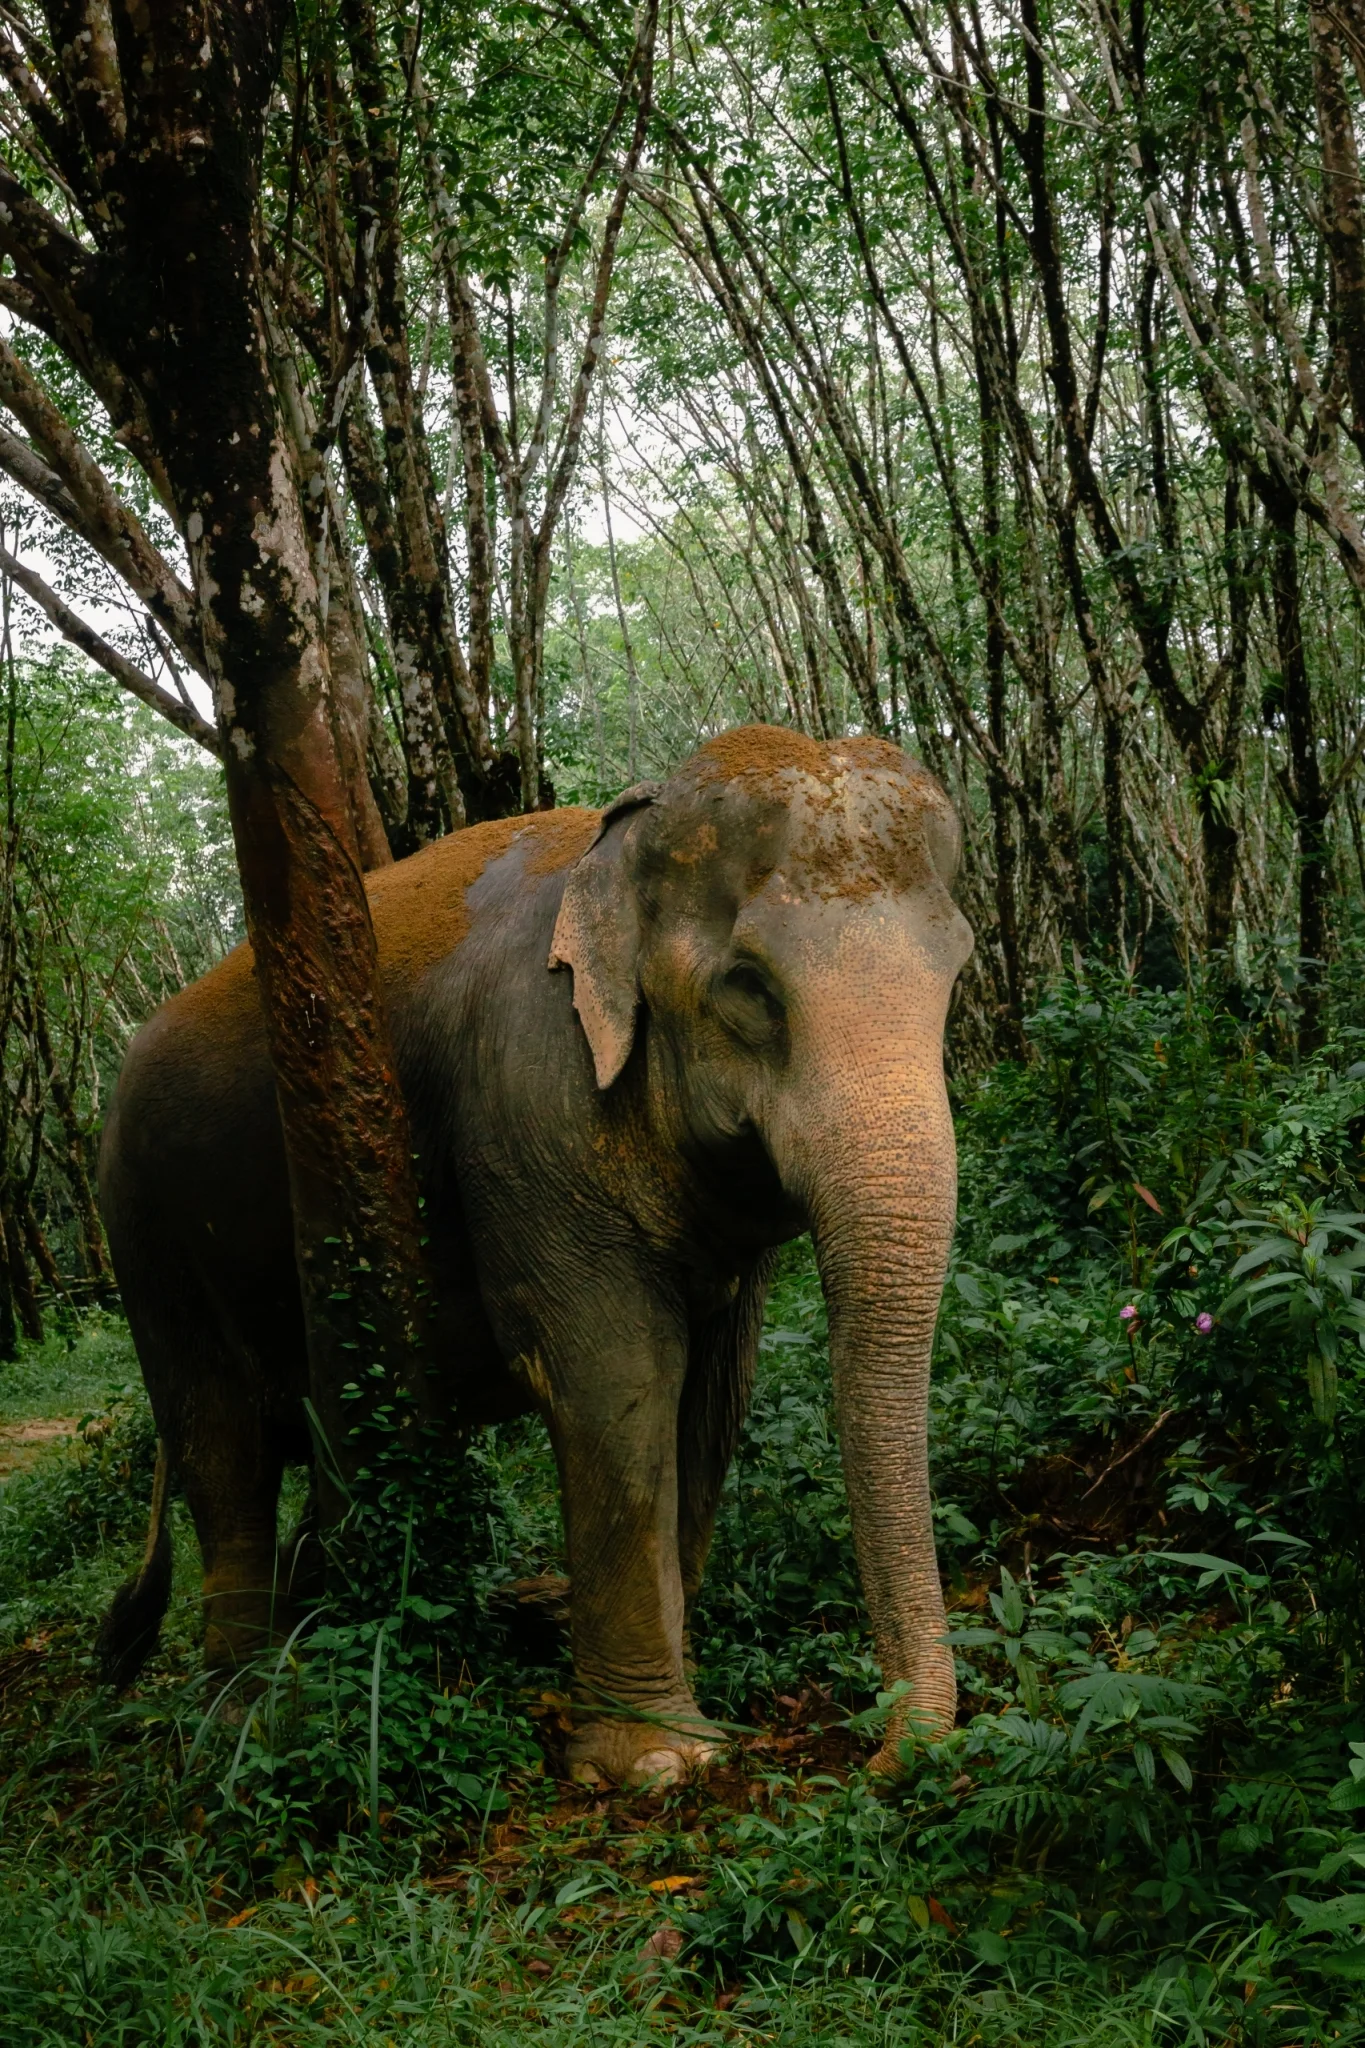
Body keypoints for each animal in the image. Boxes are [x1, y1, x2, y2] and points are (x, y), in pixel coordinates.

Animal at [96, 729, 970, 1785]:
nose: (879, 1754)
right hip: (146, 1237)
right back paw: (245, 1719)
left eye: (955, 976)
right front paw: (659, 1759)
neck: (622, 840)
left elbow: (716, 1389)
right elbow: (616, 1374)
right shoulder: (525, 1108)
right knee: (222, 1448)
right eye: (748, 988)